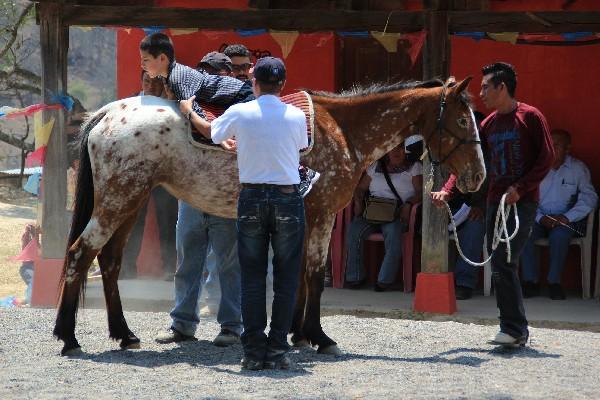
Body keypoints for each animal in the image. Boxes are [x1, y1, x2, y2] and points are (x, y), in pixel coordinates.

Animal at [52, 77, 488, 356]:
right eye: (462, 119)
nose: (478, 176)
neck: (343, 131)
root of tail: (109, 112)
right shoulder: (322, 214)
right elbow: (312, 273)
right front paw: (318, 336)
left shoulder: (305, 216)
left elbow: (298, 275)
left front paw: (297, 334)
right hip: (117, 201)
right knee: (79, 254)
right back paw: (68, 337)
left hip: (131, 201)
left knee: (109, 261)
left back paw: (124, 334)